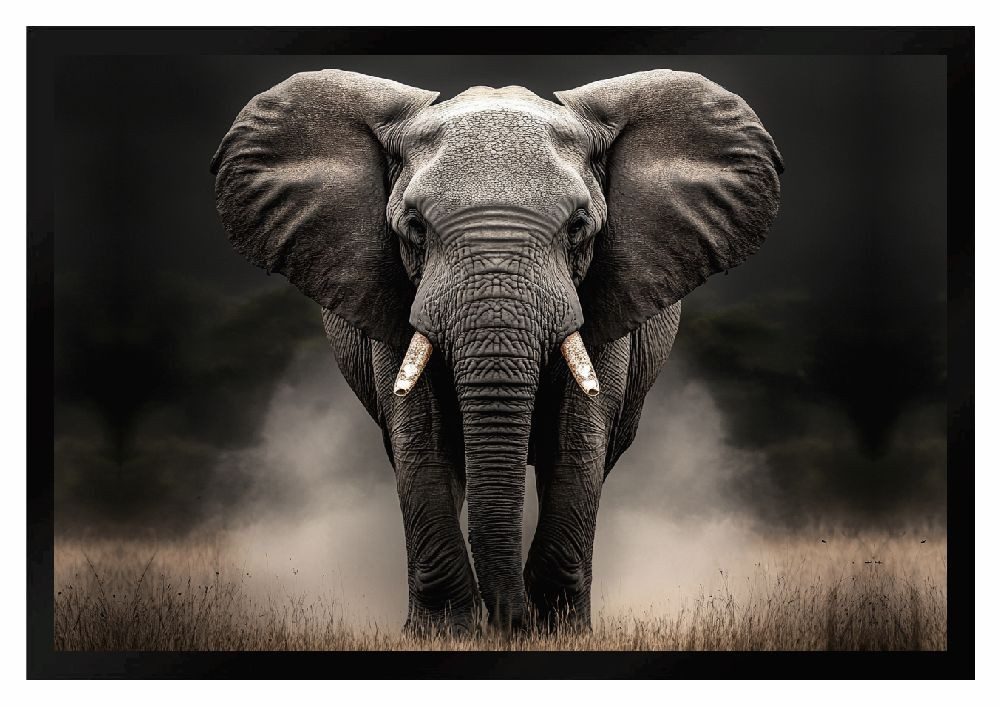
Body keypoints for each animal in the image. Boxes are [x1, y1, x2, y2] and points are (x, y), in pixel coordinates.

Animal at [211, 68, 783, 634]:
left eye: (578, 227)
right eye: (414, 227)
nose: (509, 623)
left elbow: (577, 443)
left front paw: (555, 633)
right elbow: (423, 444)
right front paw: (443, 635)